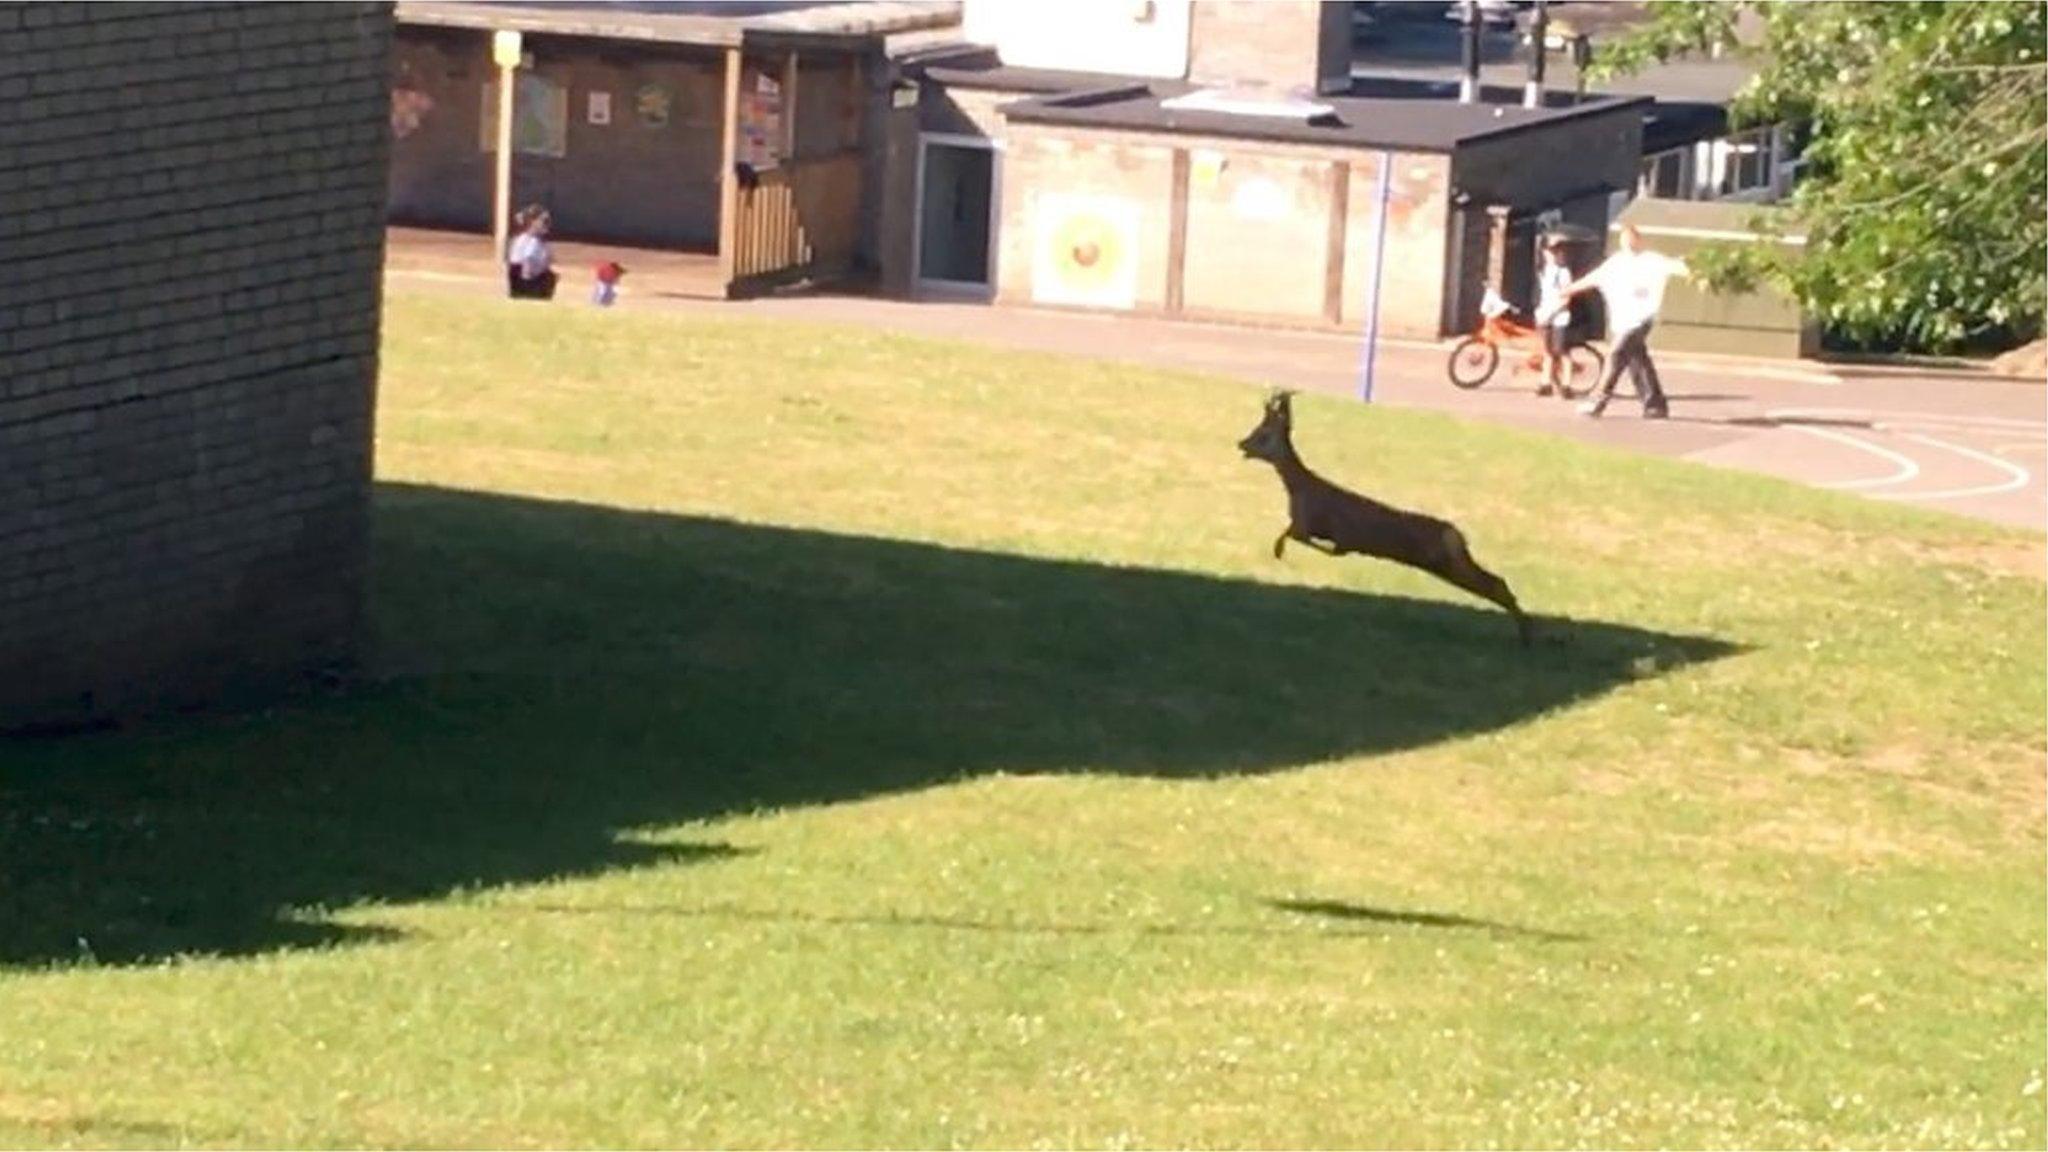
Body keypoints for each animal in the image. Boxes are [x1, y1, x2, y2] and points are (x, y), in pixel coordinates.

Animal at [1236, 387, 1531, 639]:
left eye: (1263, 434)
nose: (1241, 443)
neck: (1299, 488)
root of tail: (1456, 534)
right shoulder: (1303, 523)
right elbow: (1291, 534)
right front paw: (1284, 551)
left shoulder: (1307, 521)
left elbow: (1298, 537)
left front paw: (1295, 551)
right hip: (1449, 562)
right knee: (1497, 581)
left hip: (1446, 561)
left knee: (1495, 585)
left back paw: (1527, 635)